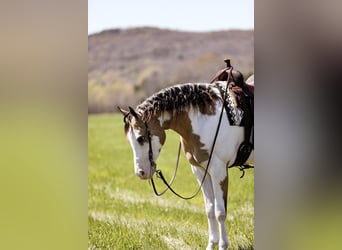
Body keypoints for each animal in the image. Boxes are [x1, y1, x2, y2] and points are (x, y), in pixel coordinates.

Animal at [119, 81, 252, 249]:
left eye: (141, 138)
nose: (140, 173)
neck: (205, 120)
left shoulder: (218, 170)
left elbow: (220, 212)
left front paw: (223, 245)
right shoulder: (200, 170)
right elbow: (210, 209)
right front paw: (211, 244)